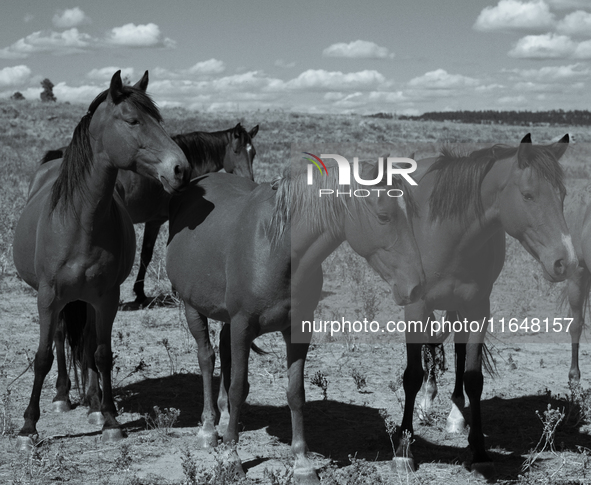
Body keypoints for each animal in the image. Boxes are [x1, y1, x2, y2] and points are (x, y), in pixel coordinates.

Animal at [12, 70, 191, 448]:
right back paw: (63, 395)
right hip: (62, 301)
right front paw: (28, 427)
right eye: (133, 120)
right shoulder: (47, 297)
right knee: (61, 339)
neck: (80, 221)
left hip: (90, 300)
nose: (180, 168)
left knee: (88, 343)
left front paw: (109, 418)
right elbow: (42, 356)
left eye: (159, 121)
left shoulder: (107, 297)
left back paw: (93, 403)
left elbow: (101, 354)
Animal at [39, 122, 256, 302]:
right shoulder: (158, 221)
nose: (249, 179)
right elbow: (148, 253)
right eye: (236, 150)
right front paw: (149, 292)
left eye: (253, 153)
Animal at [165, 160, 426, 480]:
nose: (416, 287)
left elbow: (295, 393)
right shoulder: (242, 325)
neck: (276, 249)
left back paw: (225, 420)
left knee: (223, 351)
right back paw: (208, 429)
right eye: (383, 216)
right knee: (206, 358)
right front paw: (231, 457)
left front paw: (302, 462)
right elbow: (239, 388)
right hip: (191, 306)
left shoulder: (298, 328)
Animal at [398, 133, 580, 476]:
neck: (450, 233)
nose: (567, 263)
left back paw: (455, 416)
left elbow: (474, 377)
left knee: (455, 349)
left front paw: (479, 450)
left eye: (563, 195)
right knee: (430, 346)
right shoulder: (415, 306)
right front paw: (404, 448)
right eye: (528, 195)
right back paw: (427, 402)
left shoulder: (479, 308)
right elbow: (413, 373)